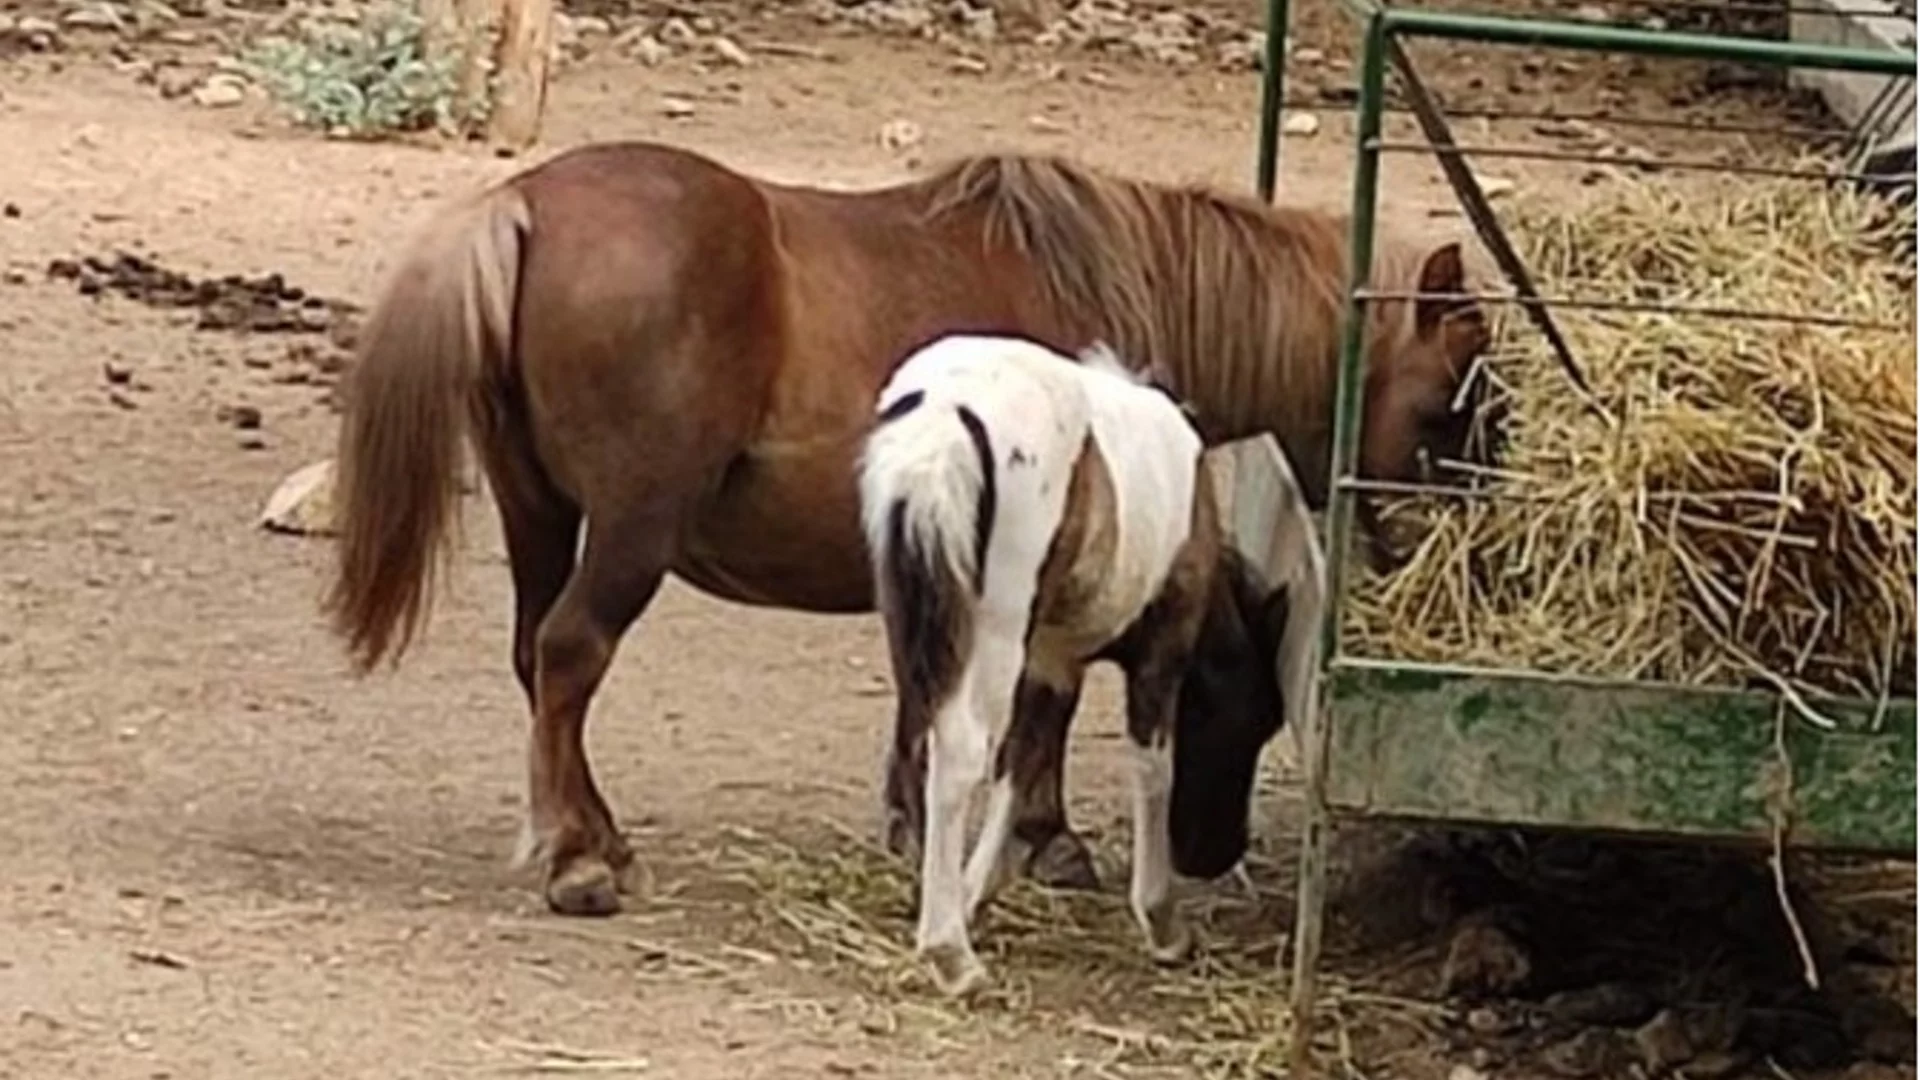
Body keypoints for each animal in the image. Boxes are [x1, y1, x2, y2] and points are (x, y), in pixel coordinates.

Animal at [326, 141, 1497, 914]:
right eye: (1451, 406)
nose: (1467, 560)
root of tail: (524, 202)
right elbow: (1041, 705)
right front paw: (1043, 840)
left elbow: (922, 686)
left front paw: (910, 822)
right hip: (628, 531)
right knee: (571, 655)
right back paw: (579, 861)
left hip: (539, 512)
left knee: (537, 658)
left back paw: (595, 836)